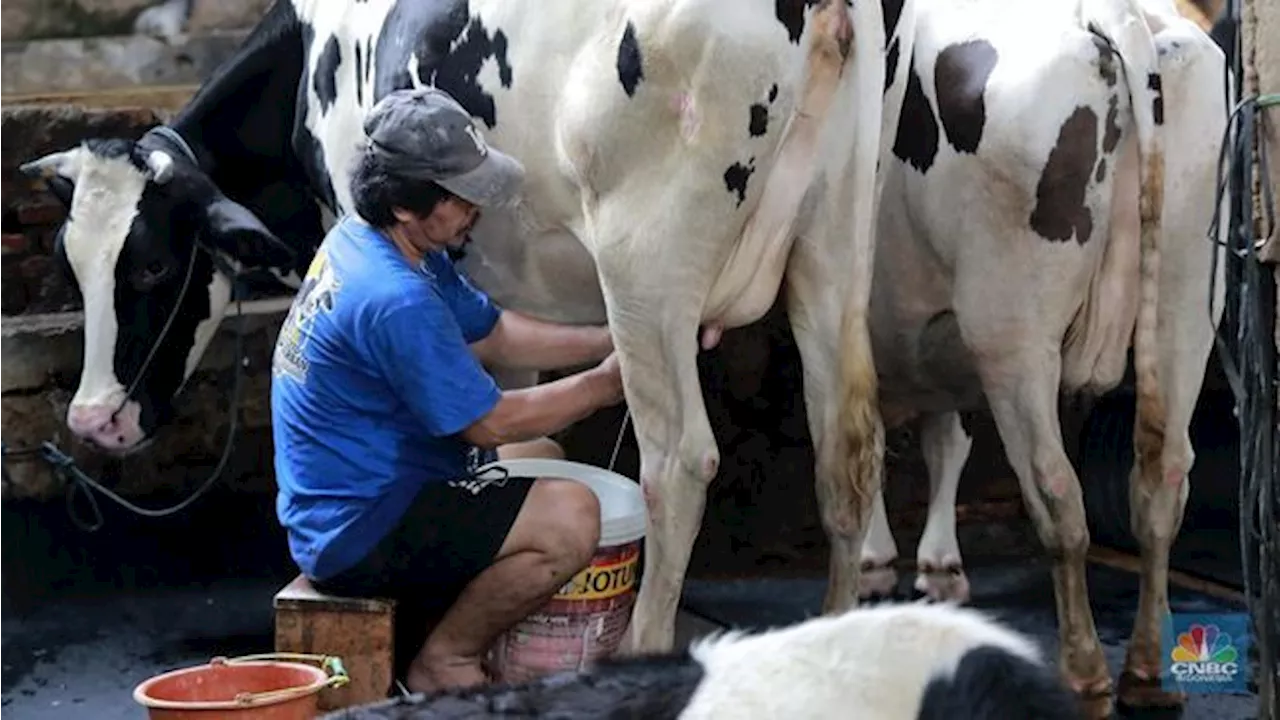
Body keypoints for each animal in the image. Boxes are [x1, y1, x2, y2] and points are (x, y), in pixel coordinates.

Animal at [17, 0, 911, 661]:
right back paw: (842, 630)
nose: (93, 419)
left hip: (646, 258)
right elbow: (508, 433)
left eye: (151, 268)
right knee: (846, 449)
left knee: (680, 461)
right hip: (837, 235)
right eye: (69, 263)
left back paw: (643, 648)